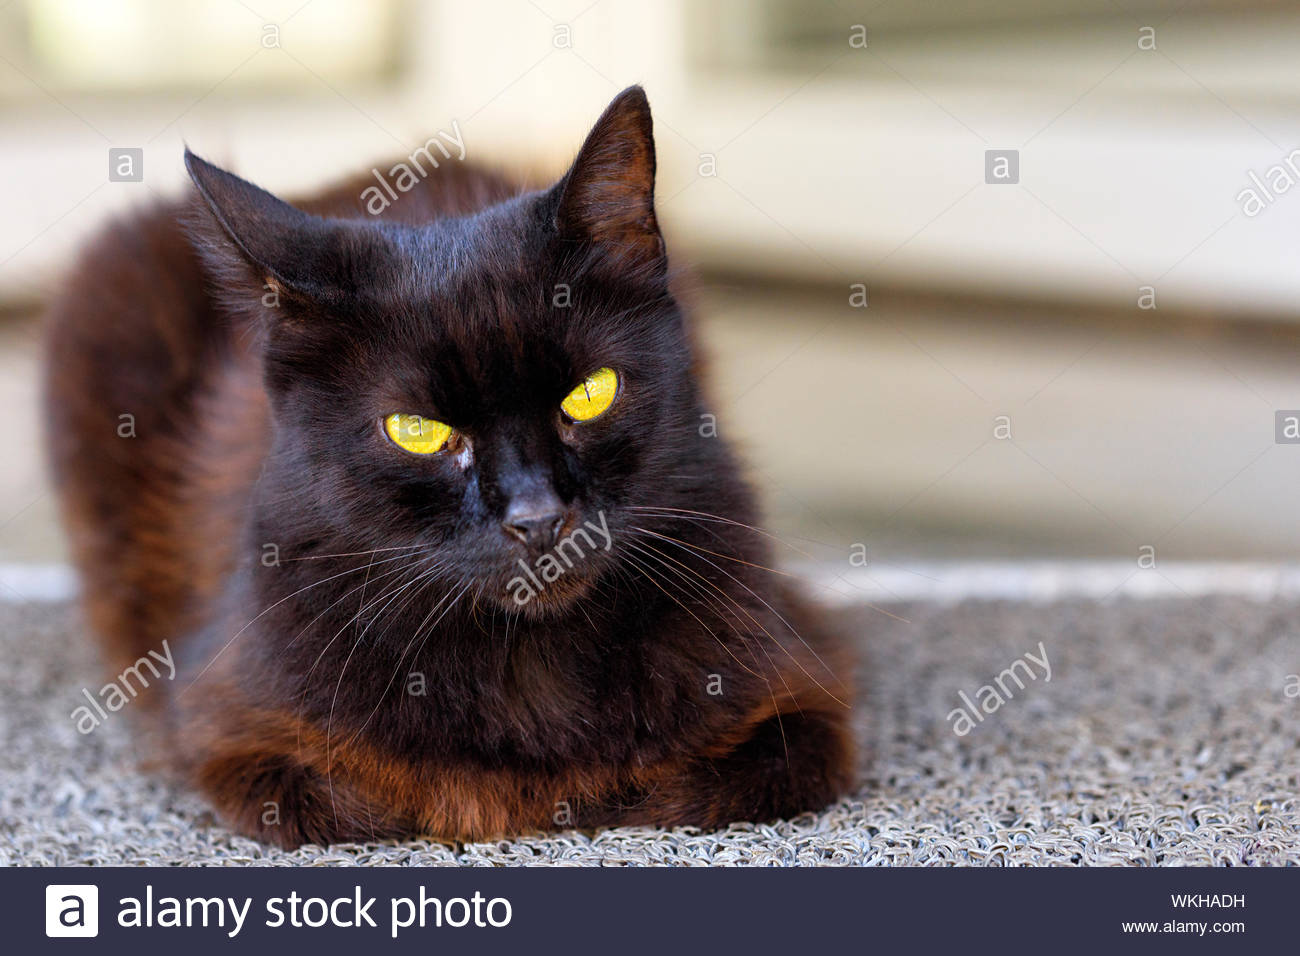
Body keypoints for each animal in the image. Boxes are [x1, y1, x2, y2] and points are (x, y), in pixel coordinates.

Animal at [43, 87, 852, 842]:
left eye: (591, 393)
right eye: (418, 431)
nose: (538, 518)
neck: (529, 661)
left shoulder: (802, 687)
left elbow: (725, 782)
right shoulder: (232, 728)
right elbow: (362, 801)